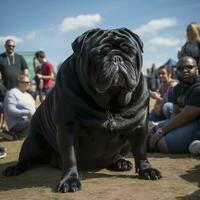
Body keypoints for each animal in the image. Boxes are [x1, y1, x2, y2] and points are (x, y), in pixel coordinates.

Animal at [2, 27, 161, 192]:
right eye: (99, 54)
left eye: (129, 51)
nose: (117, 58)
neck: (110, 102)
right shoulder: (68, 128)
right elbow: (70, 156)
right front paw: (70, 180)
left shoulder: (139, 127)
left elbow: (141, 151)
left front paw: (146, 170)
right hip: (33, 141)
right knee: (25, 158)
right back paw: (15, 168)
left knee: (119, 154)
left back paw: (121, 162)